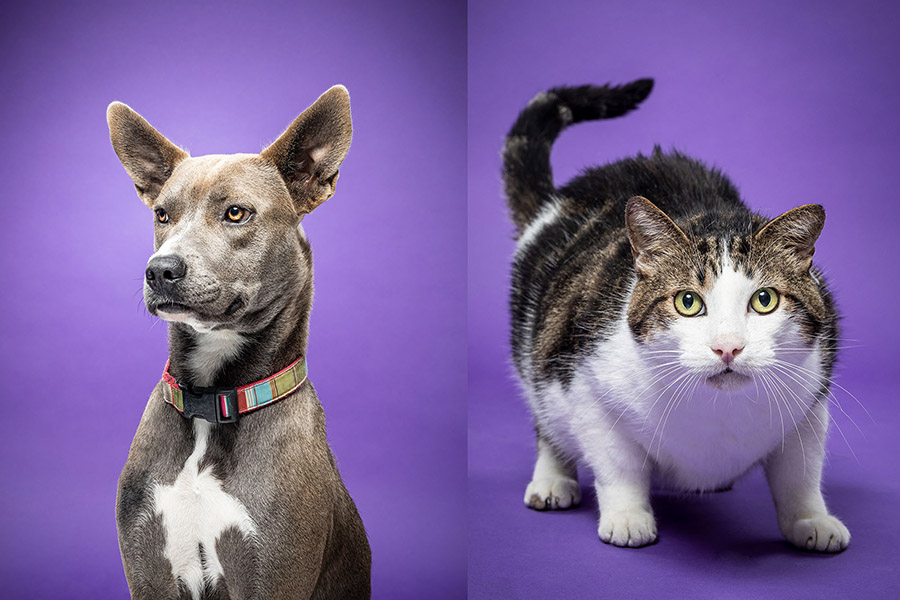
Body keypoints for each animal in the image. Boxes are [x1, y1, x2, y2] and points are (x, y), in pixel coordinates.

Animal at [108, 85, 370, 600]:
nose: (160, 270)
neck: (212, 401)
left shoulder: (273, 569)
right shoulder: (147, 568)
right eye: (162, 214)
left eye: (236, 213)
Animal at [502, 79, 848, 552]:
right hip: (536, 345)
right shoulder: (587, 385)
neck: (717, 414)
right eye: (688, 302)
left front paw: (811, 519)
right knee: (545, 413)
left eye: (764, 300)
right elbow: (618, 465)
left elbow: (801, 472)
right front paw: (628, 517)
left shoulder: (812, 396)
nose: (728, 347)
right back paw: (553, 478)